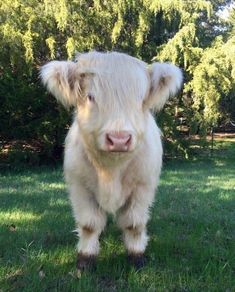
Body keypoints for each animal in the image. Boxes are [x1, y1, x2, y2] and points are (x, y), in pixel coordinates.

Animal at [41, 52, 183, 270]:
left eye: (140, 98)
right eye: (90, 96)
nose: (119, 139)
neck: (110, 171)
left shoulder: (143, 187)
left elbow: (134, 223)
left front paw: (136, 256)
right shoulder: (79, 186)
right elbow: (89, 224)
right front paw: (85, 259)